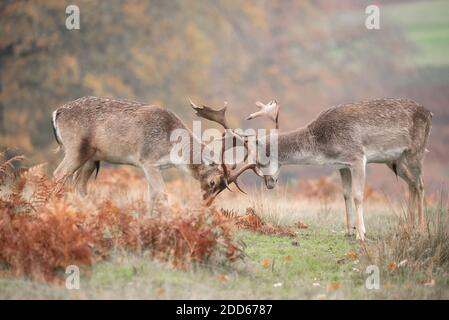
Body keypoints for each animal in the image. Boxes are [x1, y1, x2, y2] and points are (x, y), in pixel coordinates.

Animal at [245, 97, 430, 240]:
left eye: (260, 162)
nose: (269, 183)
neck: (323, 147)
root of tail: (429, 114)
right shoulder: (343, 166)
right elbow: (346, 194)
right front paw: (349, 231)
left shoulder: (357, 157)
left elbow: (357, 195)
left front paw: (361, 234)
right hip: (395, 160)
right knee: (412, 184)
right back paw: (408, 227)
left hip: (416, 150)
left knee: (420, 184)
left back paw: (421, 229)